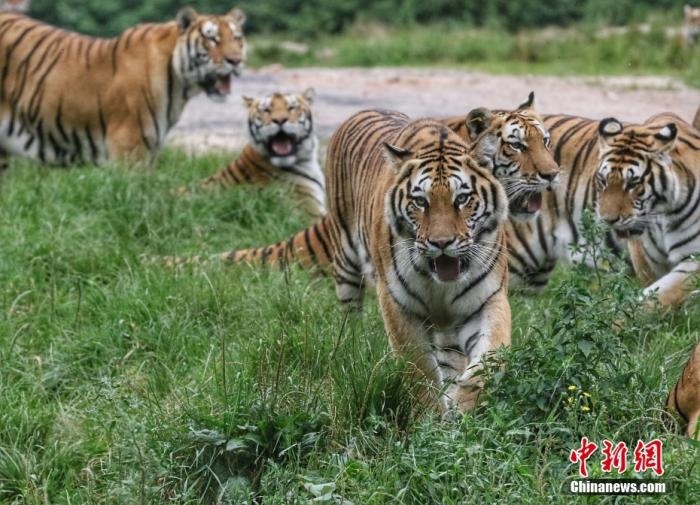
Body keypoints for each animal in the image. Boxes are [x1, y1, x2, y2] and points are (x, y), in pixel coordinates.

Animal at [594, 114, 700, 307]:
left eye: (632, 183)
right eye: (603, 180)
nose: (608, 220)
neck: (664, 216)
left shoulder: (694, 259)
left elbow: (660, 295)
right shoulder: (646, 260)